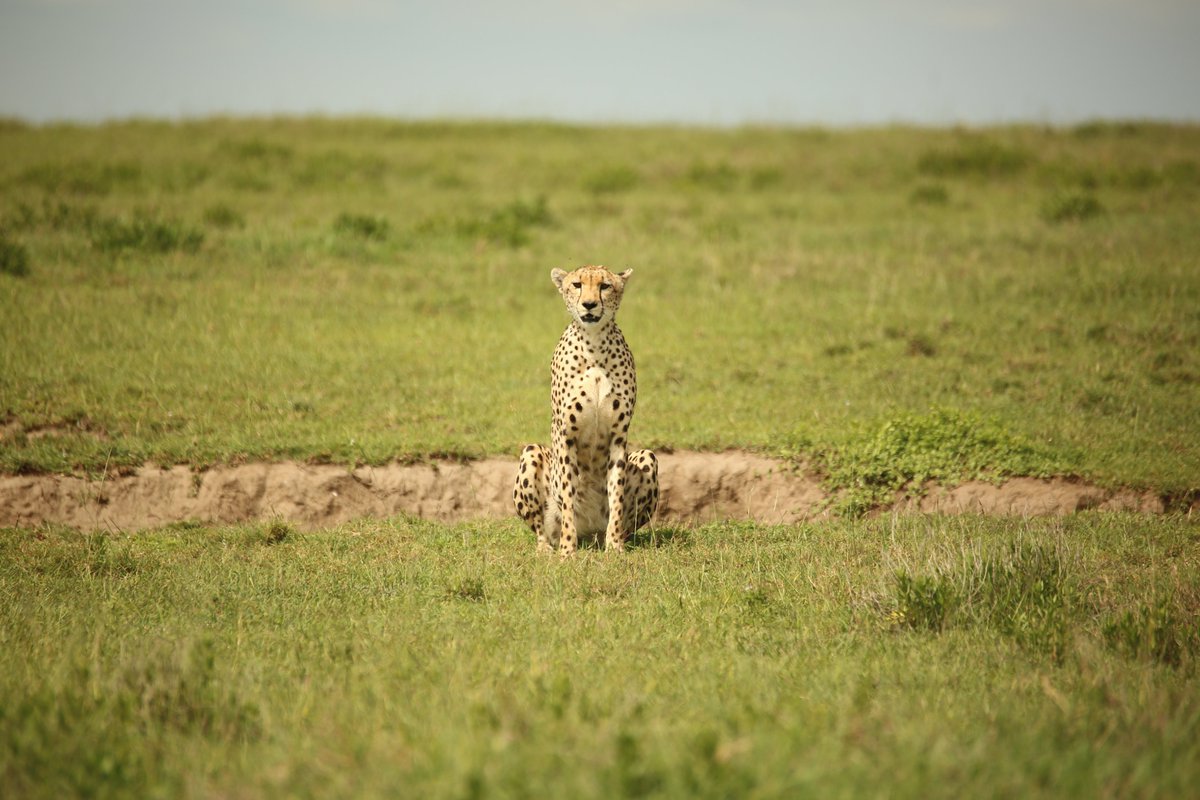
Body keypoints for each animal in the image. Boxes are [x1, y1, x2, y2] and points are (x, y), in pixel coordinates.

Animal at [513, 265, 659, 555]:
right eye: (577, 284)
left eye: (605, 286)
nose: (589, 304)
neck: (594, 345)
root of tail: (589, 534)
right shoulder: (566, 435)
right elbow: (568, 496)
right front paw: (567, 551)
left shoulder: (618, 436)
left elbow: (616, 494)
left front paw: (614, 548)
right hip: (532, 453)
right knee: (541, 530)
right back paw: (548, 549)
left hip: (647, 457)